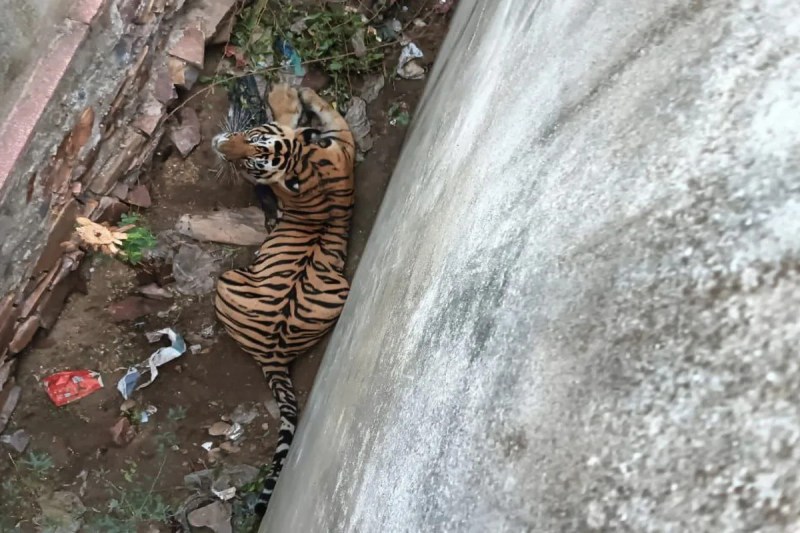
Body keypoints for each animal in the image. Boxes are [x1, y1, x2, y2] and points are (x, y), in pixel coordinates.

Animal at [211, 84, 355, 518]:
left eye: (251, 161)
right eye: (251, 134)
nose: (220, 144)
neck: (304, 161)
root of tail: (274, 353)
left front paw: (282, 93)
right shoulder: (342, 145)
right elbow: (328, 114)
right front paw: (299, 94)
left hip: (227, 280)